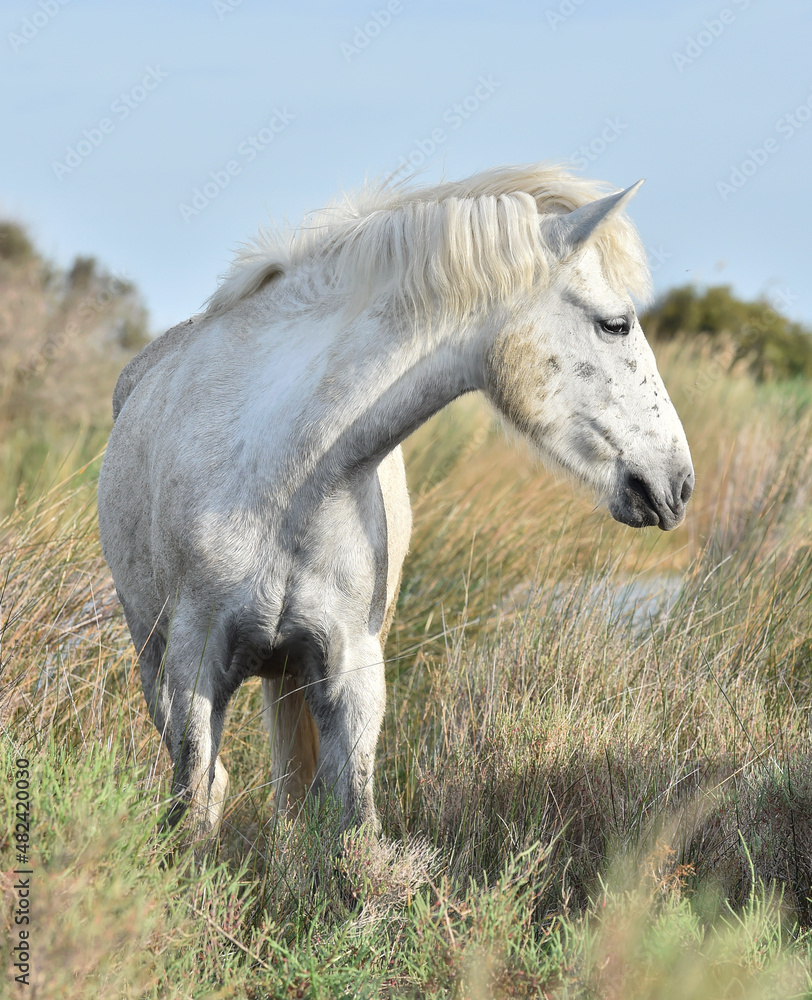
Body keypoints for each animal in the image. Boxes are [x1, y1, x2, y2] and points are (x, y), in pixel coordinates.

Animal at [97, 164, 694, 843]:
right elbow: (194, 804)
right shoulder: (194, 664)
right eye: (615, 323)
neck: (283, 477)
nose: (677, 484)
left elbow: (356, 823)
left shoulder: (352, 670)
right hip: (154, 656)